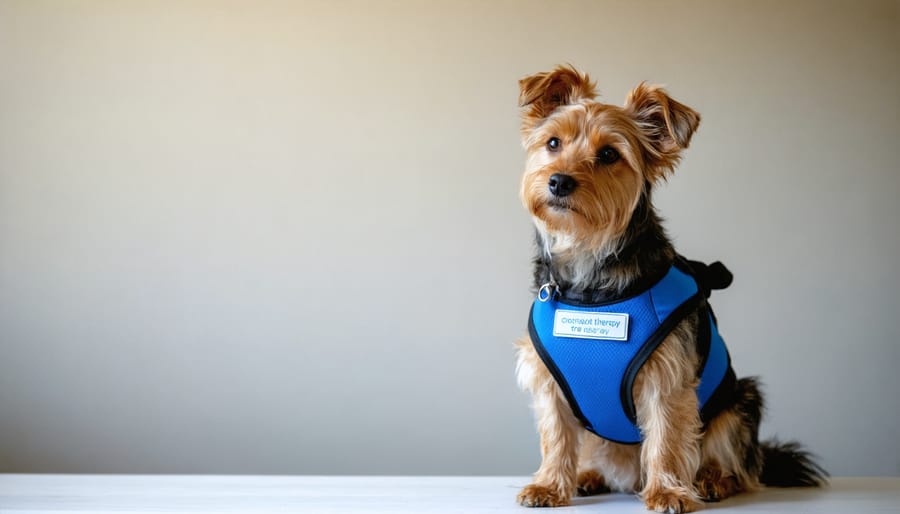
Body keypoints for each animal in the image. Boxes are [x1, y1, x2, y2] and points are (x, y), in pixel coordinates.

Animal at [510, 66, 828, 510]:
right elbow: (556, 435)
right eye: (553, 143)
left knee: (735, 463)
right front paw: (549, 485)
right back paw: (589, 476)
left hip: (740, 401)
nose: (558, 181)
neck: (589, 266)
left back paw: (712, 481)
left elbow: (667, 435)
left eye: (609, 155)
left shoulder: (667, 375)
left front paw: (667, 491)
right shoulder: (550, 382)